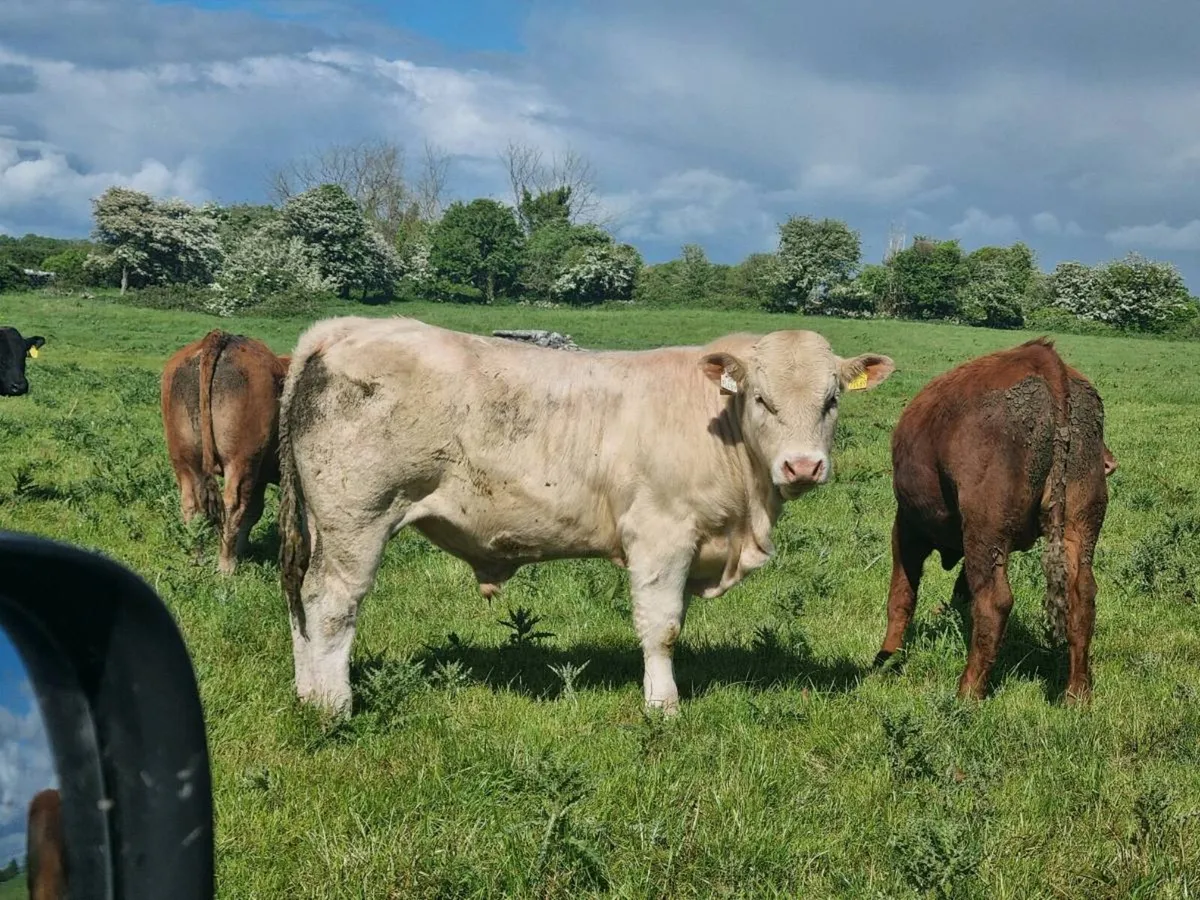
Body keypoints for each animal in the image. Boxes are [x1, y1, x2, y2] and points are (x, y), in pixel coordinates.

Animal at [160, 330, 290, 575]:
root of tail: (226, 338)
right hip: (242, 460)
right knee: (234, 504)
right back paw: (227, 565)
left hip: (184, 458)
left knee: (191, 503)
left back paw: (198, 558)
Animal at [277, 315, 895, 717]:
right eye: (763, 400)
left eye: (831, 400)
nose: (803, 466)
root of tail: (341, 329)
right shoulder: (660, 534)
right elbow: (662, 627)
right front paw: (663, 706)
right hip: (357, 519)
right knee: (332, 605)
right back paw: (333, 706)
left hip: (320, 527)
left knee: (300, 598)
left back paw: (307, 694)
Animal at [873, 337, 1111, 704]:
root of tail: (1044, 360)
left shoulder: (908, 527)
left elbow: (901, 596)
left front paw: (885, 659)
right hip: (1079, 526)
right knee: (1082, 596)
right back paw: (1077, 694)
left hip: (986, 532)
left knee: (994, 602)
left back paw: (968, 692)